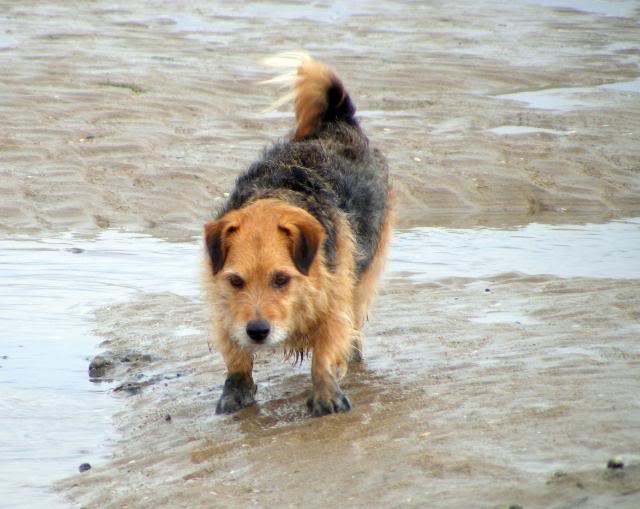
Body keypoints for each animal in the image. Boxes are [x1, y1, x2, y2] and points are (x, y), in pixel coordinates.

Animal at [202, 53, 392, 414]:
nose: (257, 331)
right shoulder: (224, 306)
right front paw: (236, 390)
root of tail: (335, 120)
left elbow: (325, 352)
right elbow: (234, 354)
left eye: (281, 279)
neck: (277, 196)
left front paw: (327, 394)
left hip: (366, 272)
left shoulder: (336, 298)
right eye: (236, 281)